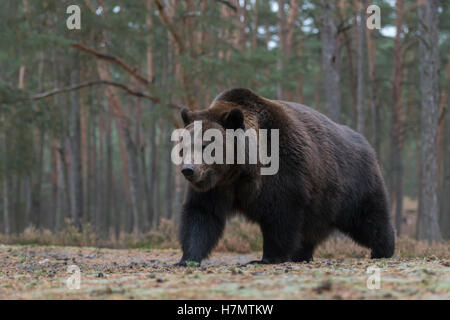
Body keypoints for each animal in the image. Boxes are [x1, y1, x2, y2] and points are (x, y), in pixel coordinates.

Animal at [176, 88, 394, 264]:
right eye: (184, 145)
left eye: (206, 145)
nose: (188, 169)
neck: (240, 171)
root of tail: (367, 144)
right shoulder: (216, 187)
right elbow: (202, 215)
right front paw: (187, 258)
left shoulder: (283, 173)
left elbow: (280, 215)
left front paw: (267, 258)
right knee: (310, 231)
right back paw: (302, 255)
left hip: (353, 184)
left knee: (369, 219)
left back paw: (383, 249)